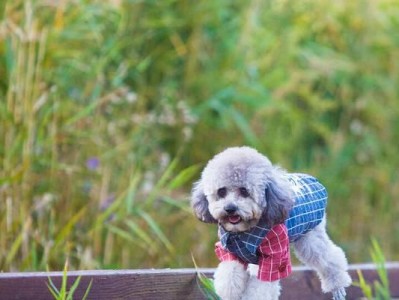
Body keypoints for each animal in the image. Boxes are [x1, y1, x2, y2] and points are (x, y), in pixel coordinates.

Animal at [192, 146, 352, 298]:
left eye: (244, 191)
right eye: (221, 191)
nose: (230, 208)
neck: (245, 231)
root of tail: (312, 180)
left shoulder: (275, 257)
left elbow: (260, 288)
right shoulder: (229, 250)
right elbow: (230, 273)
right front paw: (228, 292)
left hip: (310, 237)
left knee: (330, 257)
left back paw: (337, 286)